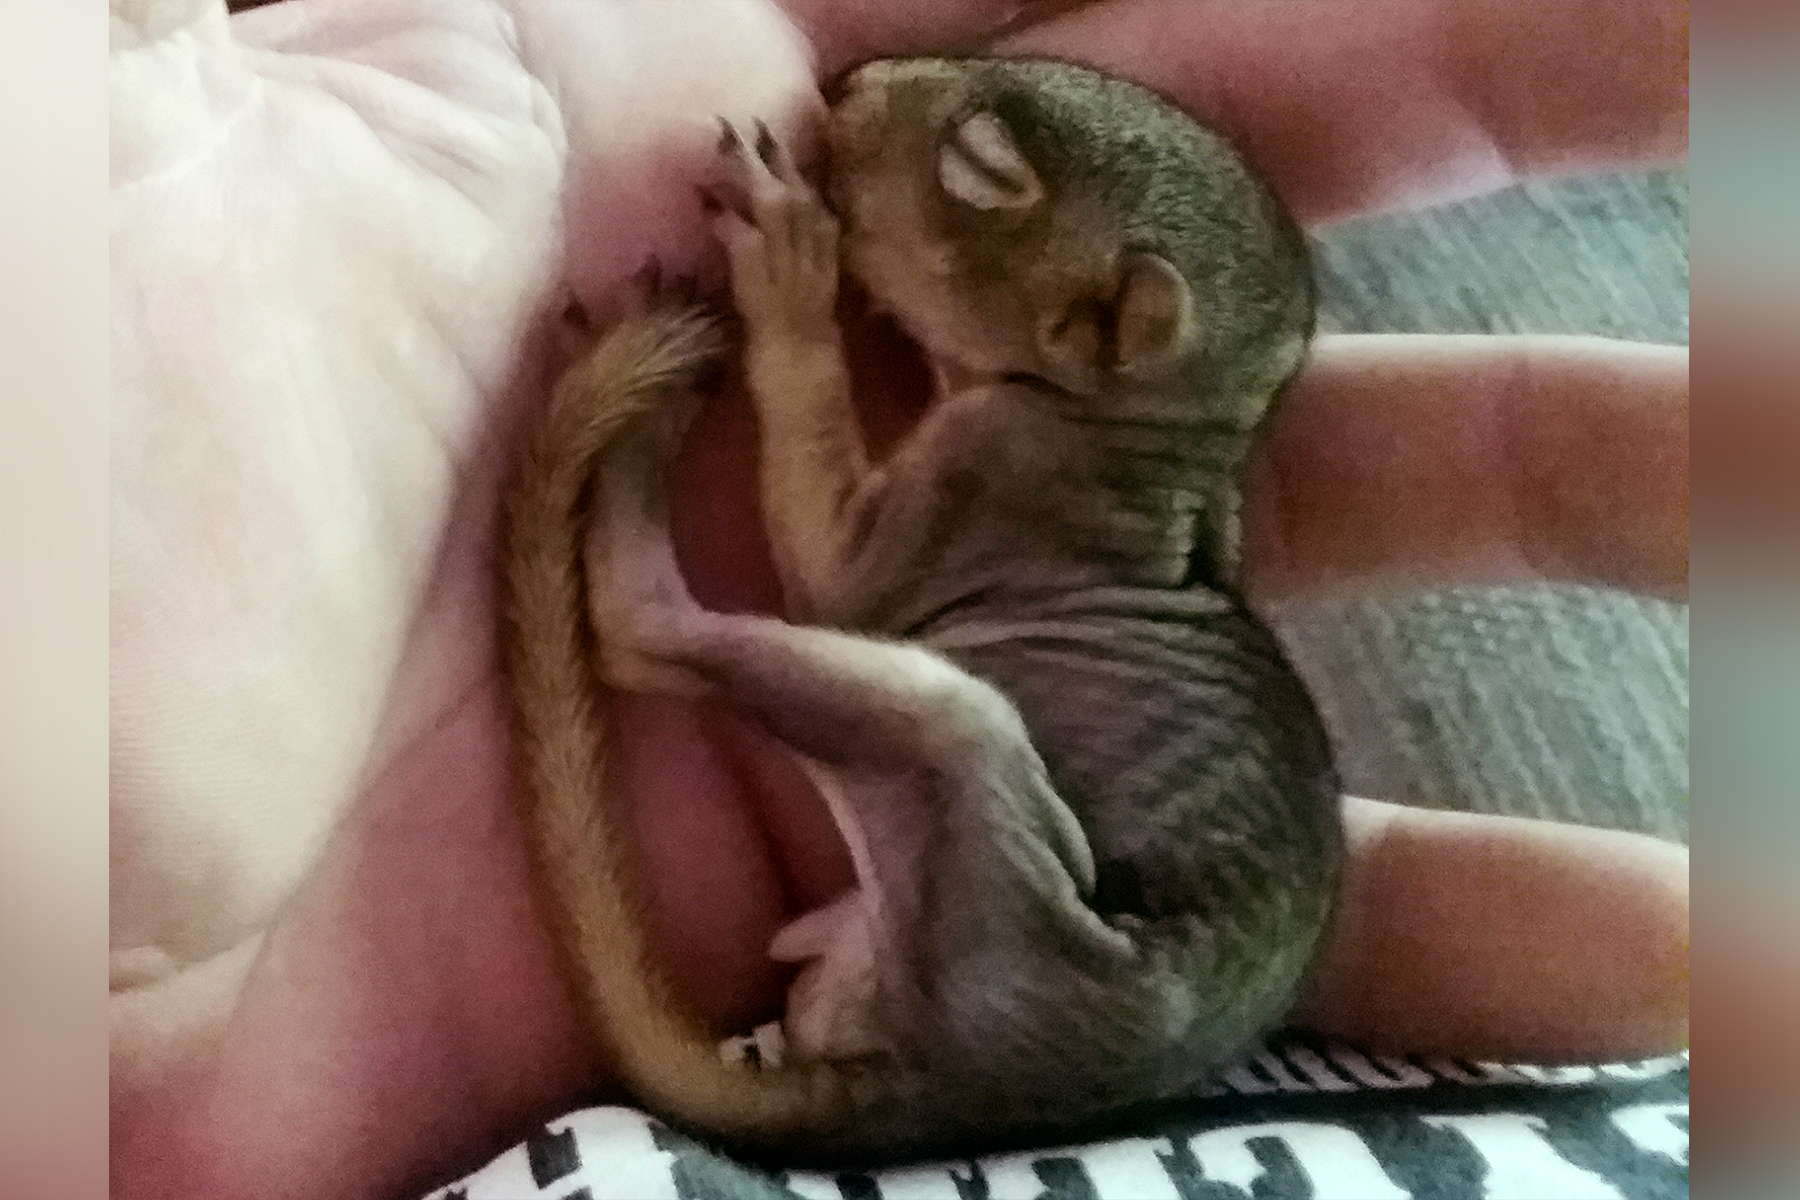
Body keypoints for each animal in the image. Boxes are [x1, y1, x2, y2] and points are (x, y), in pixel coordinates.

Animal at [503, 55, 1341, 1162]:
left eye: (979, 165)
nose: (845, 83)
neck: (1155, 435)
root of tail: (948, 1087)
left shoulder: (988, 466)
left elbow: (837, 575)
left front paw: (791, 274)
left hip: (971, 810)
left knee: (641, 635)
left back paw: (650, 431)